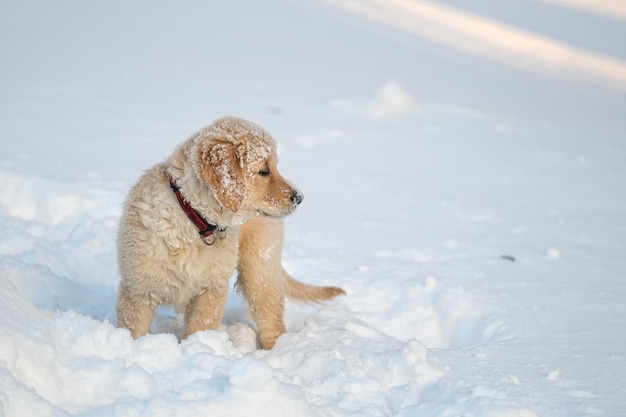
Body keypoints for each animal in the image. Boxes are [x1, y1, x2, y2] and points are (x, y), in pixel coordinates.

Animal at [114, 116, 344, 348]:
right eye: (264, 171)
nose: (299, 197)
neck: (194, 221)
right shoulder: (138, 290)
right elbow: (133, 330)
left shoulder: (211, 289)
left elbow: (200, 327)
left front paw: (197, 346)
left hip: (259, 266)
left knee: (271, 320)